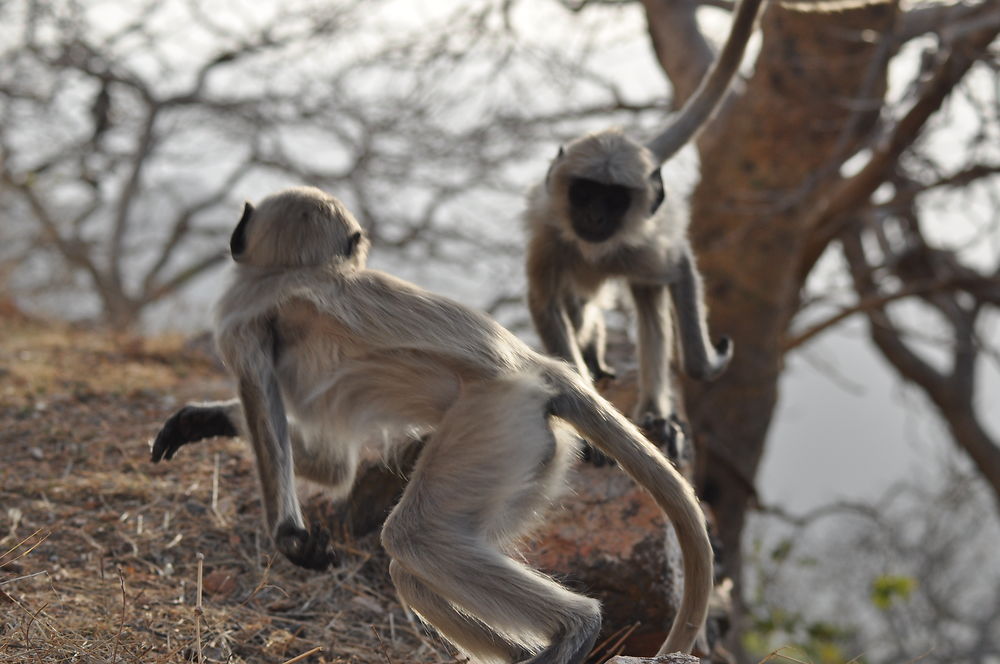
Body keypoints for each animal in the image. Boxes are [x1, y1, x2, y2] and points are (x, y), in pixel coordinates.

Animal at [148, 188, 712, 664]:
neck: (302, 270)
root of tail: (543, 367)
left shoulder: (239, 316)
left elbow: (275, 422)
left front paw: (289, 537)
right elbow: (333, 468)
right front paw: (205, 420)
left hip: (492, 422)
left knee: (412, 539)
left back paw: (577, 629)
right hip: (527, 455)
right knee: (418, 565)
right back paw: (530, 652)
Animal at [528, 0, 760, 460]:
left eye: (614, 200)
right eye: (584, 193)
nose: (595, 218)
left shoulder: (648, 244)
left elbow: (679, 269)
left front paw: (702, 365)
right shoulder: (548, 233)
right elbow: (546, 302)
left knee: (647, 296)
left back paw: (654, 413)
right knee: (577, 303)